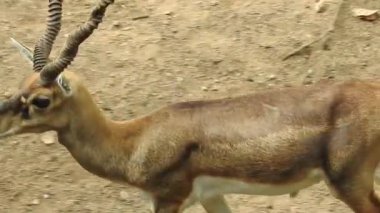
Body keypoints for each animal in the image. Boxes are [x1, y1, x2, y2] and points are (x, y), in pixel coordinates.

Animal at [0, 0, 380, 213]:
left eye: (41, 100)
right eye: (20, 85)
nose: (0, 122)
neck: (133, 143)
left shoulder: (168, 201)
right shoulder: (211, 198)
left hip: (349, 184)